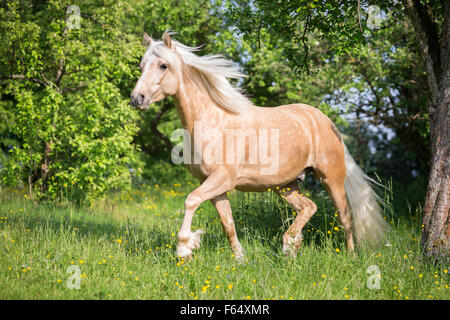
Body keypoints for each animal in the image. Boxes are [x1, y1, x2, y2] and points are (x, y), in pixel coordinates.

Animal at [131, 31, 390, 260]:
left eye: (163, 66)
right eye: (142, 66)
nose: (137, 98)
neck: (213, 121)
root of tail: (326, 122)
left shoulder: (222, 179)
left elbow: (190, 200)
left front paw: (184, 248)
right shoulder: (215, 187)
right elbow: (228, 225)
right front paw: (240, 260)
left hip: (331, 178)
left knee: (345, 217)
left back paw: (349, 256)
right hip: (285, 185)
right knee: (309, 207)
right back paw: (290, 247)